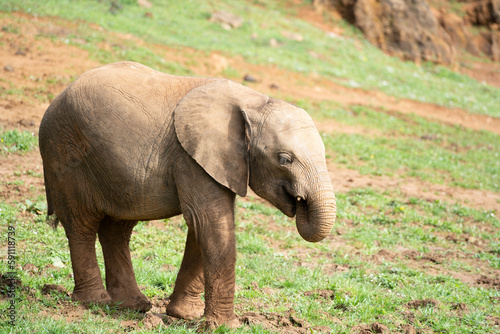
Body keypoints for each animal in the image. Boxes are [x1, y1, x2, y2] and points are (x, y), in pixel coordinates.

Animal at [39, 61, 336, 330]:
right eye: (284, 159)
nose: (300, 203)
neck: (253, 102)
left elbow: (202, 228)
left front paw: (185, 316)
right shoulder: (190, 156)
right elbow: (210, 224)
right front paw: (225, 326)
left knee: (117, 229)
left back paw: (132, 306)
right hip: (65, 153)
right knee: (82, 224)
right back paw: (95, 302)